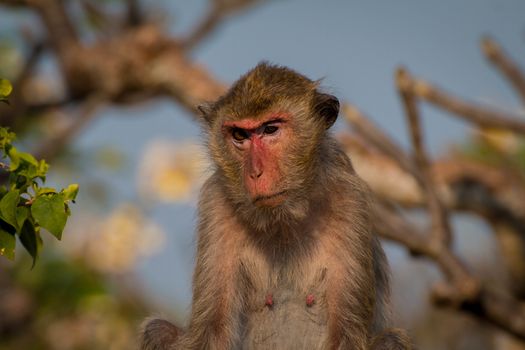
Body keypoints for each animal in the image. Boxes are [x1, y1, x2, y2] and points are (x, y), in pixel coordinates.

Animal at [141, 63, 412, 350]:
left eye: (270, 129)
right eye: (239, 135)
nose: (255, 173)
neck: (285, 219)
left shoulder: (349, 201)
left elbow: (347, 335)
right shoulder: (216, 203)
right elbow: (210, 332)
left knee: (391, 339)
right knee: (158, 329)